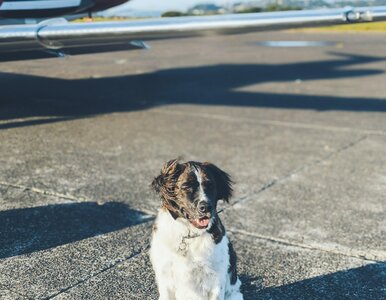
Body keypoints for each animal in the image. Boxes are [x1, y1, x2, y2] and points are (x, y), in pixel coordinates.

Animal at [150, 158, 243, 298]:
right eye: (186, 187)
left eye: (210, 185)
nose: (206, 207)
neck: (189, 235)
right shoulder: (165, 275)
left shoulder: (217, 278)